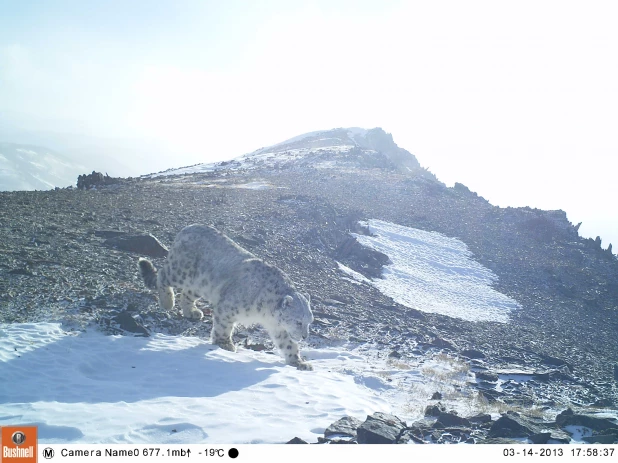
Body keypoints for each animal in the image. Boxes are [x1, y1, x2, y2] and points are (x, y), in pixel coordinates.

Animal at [139, 223, 312, 372]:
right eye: (298, 321)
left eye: (309, 322)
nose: (305, 336)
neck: (265, 314)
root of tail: (188, 227)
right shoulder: (228, 308)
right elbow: (223, 326)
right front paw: (224, 344)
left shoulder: (279, 327)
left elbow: (288, 344)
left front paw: (299, 362)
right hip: (180, 271)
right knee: (163, 275)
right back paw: (167, 302)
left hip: (200, 284)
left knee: (187, 293)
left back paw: (192, 312)